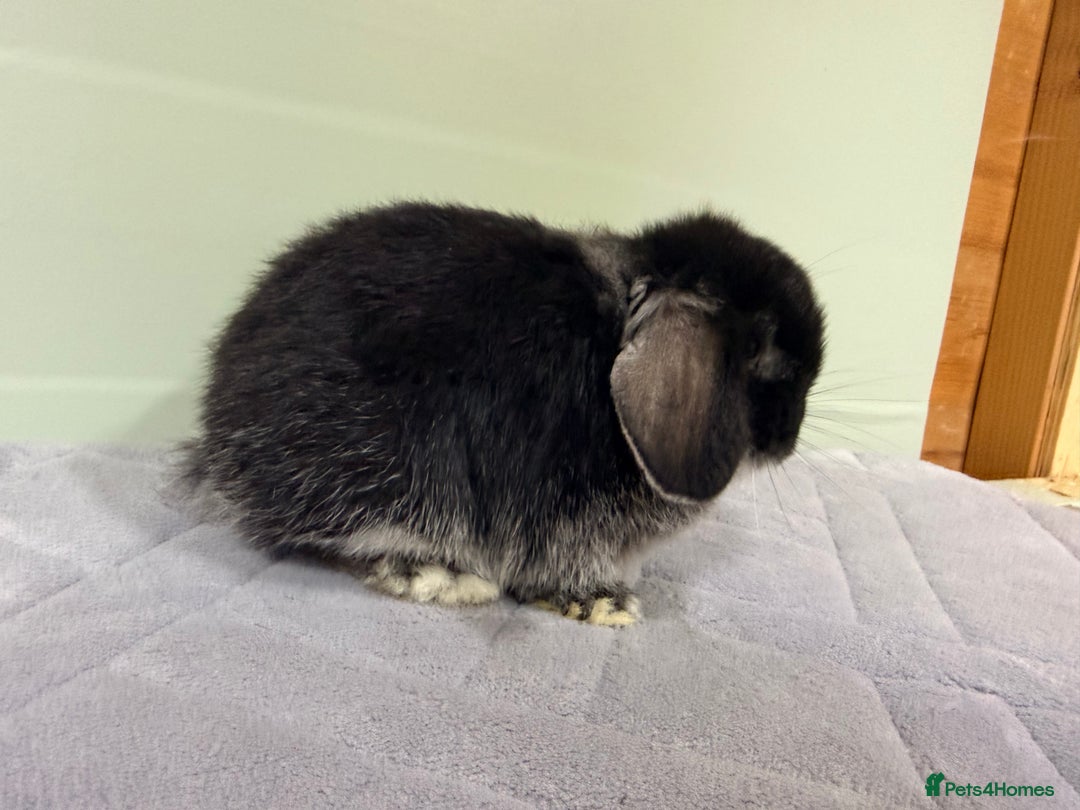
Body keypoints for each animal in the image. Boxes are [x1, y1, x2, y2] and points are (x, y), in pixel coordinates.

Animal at [183, 202, 825, 626]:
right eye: (763, 354)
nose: (789, 441)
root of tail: (217, 431)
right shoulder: (563, 513)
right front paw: (603, 603)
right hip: (376, 468)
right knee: (319, 540)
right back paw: (440, 577)